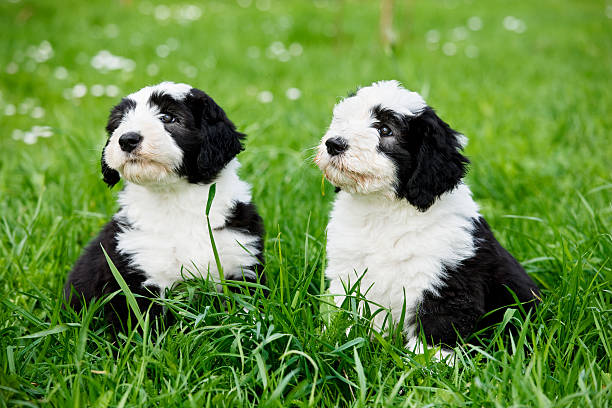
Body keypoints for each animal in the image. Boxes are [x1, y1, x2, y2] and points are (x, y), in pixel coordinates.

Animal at [65, 81, 266, 330]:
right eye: (120, 121)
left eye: (168, 117)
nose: (127, 139)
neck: (175, 200)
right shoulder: (134, 272)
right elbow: (137, 325)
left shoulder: (242, 260)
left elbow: (249, 313)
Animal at [316, 79, 540, 356]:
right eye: (343, 120)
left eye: (385, 129)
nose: (333, 144)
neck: (383, 210)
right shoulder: (349, 271)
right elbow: (346, 311)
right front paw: (339, 342)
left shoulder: (445, 278)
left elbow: (437, 326)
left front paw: (428, 363)